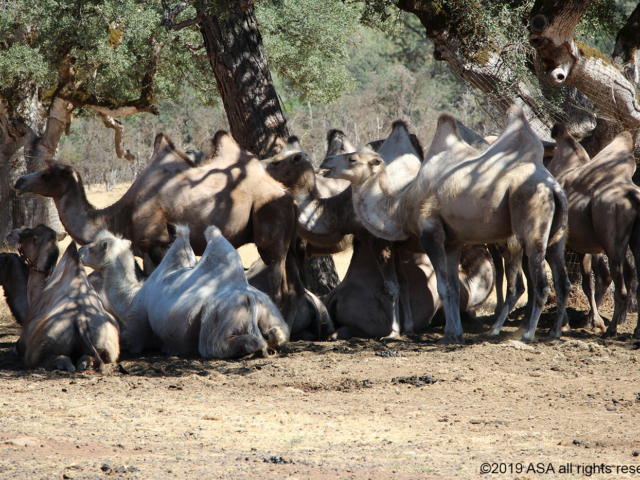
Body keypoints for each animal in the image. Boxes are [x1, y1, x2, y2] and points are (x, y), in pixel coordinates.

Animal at [13, 129, 304, 328]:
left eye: (46, 175)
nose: (19, 181)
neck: (119, 215)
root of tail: (287, 196)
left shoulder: (156, 243)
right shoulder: (143, 250)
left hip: (269, 223)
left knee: (278, 284)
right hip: (287, 239)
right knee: (293, 285)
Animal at [13, 225, 119, 372]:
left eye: (26, 234)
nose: (16, 232)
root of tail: (80, 320)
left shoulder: (22, 341)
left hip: (42, 346)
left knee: (60, 361)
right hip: (107, 346)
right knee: (87, 359)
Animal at [80, 227, 288, 358]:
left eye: (96, 246)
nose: (80, 250)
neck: (132, 298)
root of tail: (248, 296)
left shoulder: (138, 328)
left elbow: (125, 340)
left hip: (219, 314)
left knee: (214, 346)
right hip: (269, 310)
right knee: (279, 332)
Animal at [322, 107, 572, 344]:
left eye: (352, 159)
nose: (325, 162)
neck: (402, 203)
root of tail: (553, 186)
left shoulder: (430, 234)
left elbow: (442, 287)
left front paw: (447, 335)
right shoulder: (452, 242)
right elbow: (453, 286)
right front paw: (455, 334)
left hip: (530, 225)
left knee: (538, 282)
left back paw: (525, 334)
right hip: (557, 233)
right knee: (561, 279)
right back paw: (554, 332)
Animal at [544, 124, 640, 338]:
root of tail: (632, 195)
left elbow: (562, 279)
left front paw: (567, 324)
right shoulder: (582, 245)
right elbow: (587, 283)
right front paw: (591, 322)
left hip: (613, 240)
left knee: (619, 285)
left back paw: (611, 330)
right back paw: (633, 330)